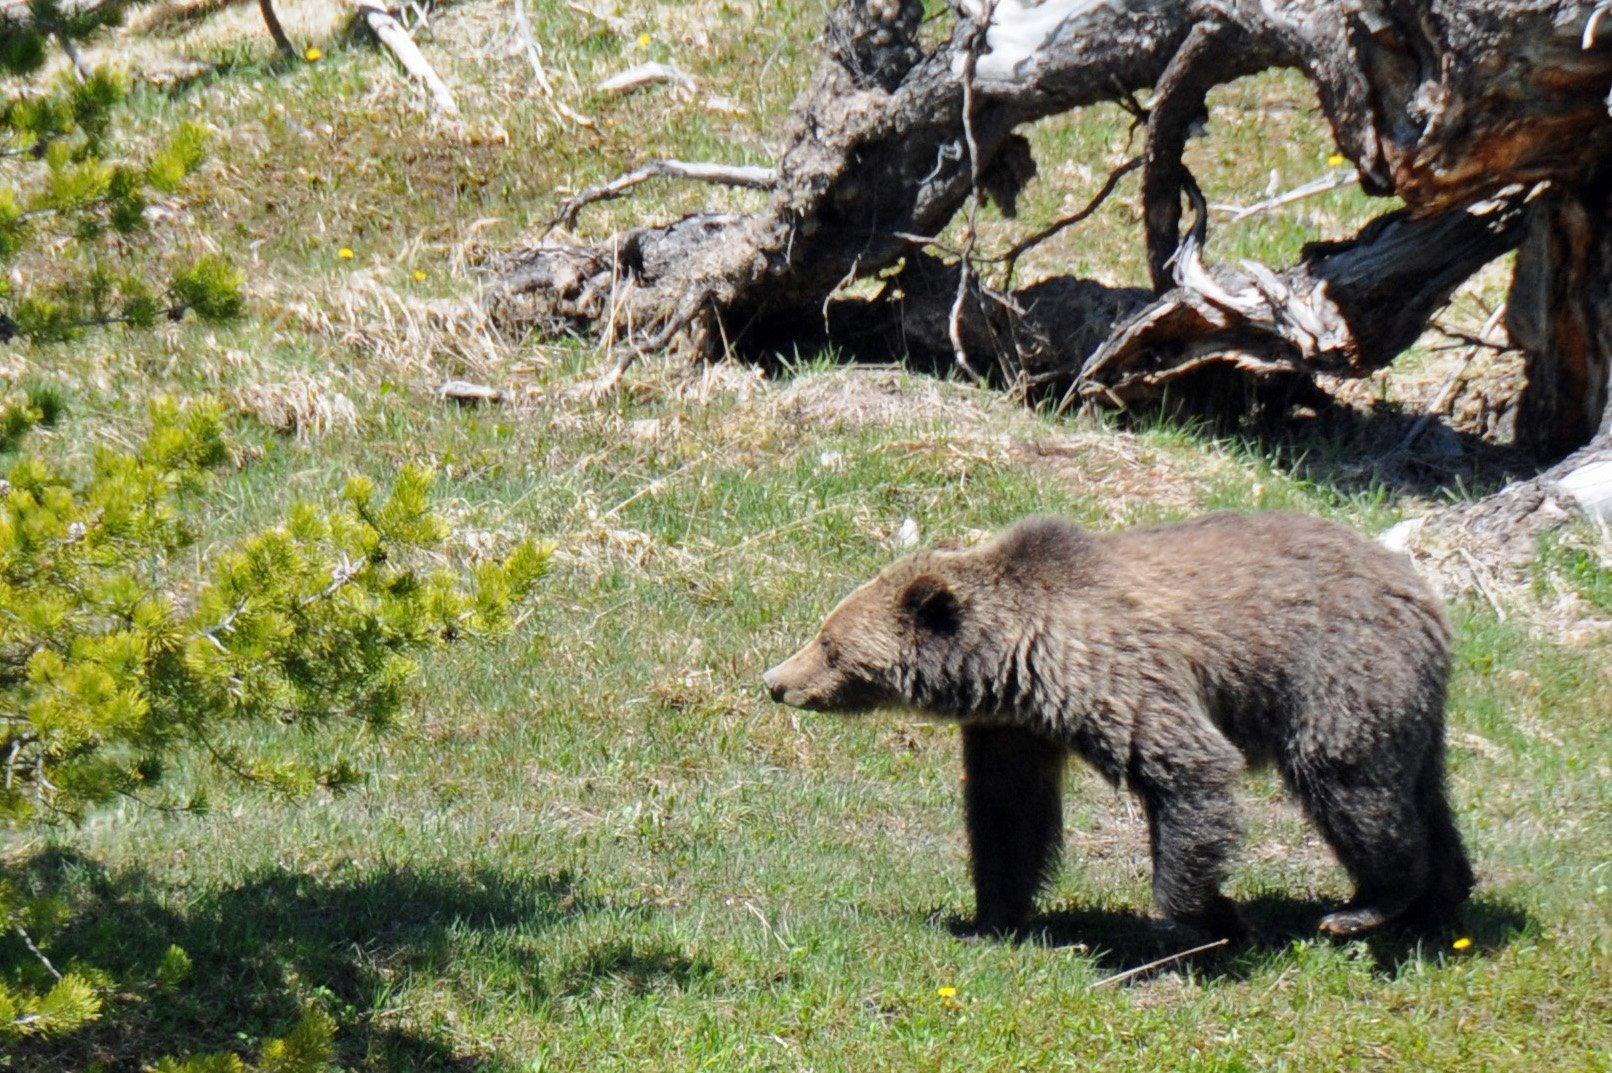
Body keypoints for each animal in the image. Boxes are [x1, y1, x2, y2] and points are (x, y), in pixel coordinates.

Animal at [764, 509, 1476, 934]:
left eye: (829, 644)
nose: (776, 682)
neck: (1015, 661)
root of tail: (1425, 591)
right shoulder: (1014, 729)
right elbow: (1007, 814)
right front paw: (995, 910)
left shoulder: (1119, 676)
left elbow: (1189, 769)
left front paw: (1208, 916)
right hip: (1404, 700)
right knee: (1423, 791)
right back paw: (1443, 897)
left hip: (1338, 672)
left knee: (1346, 780)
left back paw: (1366, 905)